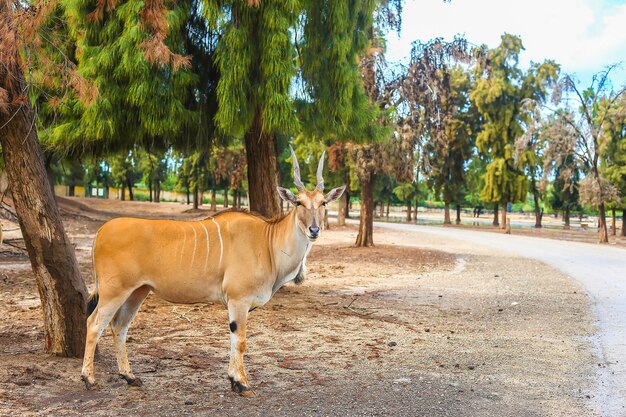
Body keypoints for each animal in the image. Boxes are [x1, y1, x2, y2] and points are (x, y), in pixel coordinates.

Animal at [80, 148, 344, 394]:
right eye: (298, 202)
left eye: (323, 203)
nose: (314, 230)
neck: (267, 242)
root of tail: (102, 230)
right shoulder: (238, 300)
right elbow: (240, 341)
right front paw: (242, 383)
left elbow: (233, 339)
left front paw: (233, 380)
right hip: (114, 291)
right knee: (94, 324)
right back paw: (89, 379)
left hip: (138, 291)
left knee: (119, 327)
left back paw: (129, 376)